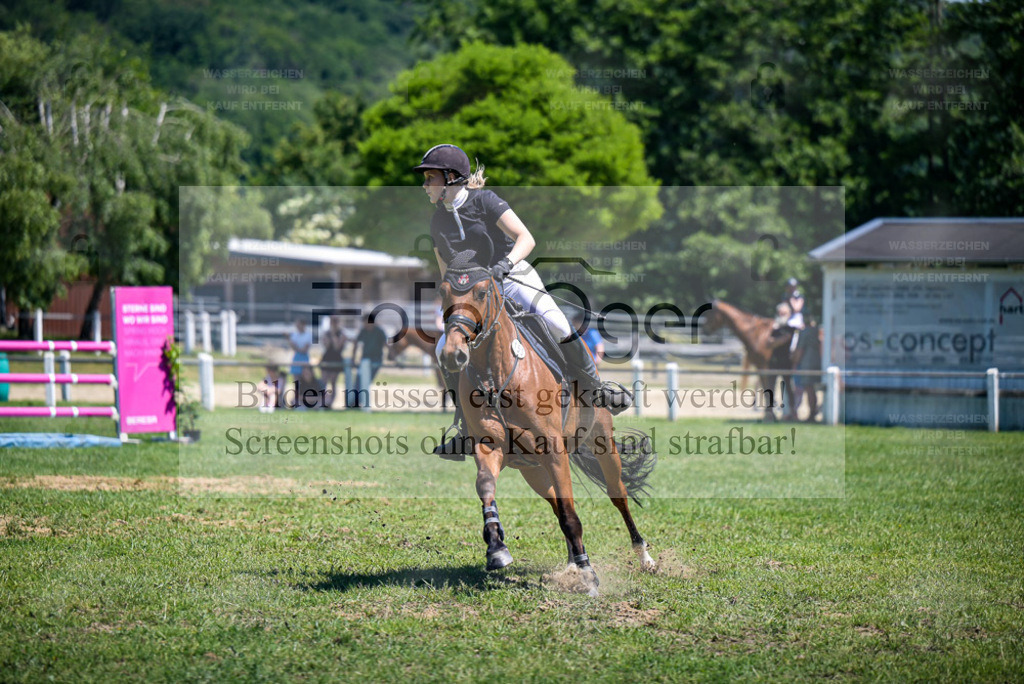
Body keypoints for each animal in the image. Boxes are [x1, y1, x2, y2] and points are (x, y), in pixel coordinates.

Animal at [440, 262, 655, 593]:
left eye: (482, 292)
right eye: (442, 292)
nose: (453, 354)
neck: (495, 373)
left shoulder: (554, 450)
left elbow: (571, 515)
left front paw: (589, 576)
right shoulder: (489, 448)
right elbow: (486, 487)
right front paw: (496, 548)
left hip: (601, 443)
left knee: (617, 495)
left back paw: (643, 558)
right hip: (533, 470)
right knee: (556, 502)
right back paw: (572, 562)